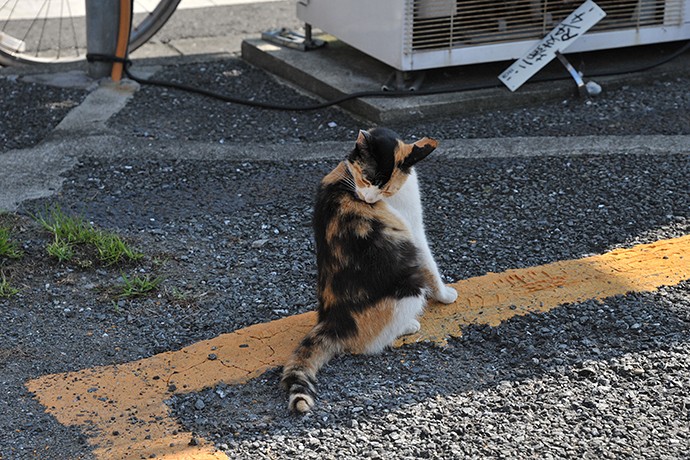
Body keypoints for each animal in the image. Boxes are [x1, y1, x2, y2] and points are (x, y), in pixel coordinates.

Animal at [280, 126, 456, 414]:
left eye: (386, 189)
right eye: (366, 178)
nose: (369, 199)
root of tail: (333, 320)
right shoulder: (415, 231)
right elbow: (431, 264)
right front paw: (445, 295)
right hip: (410, 286)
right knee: (370, 345)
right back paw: (408, 326)